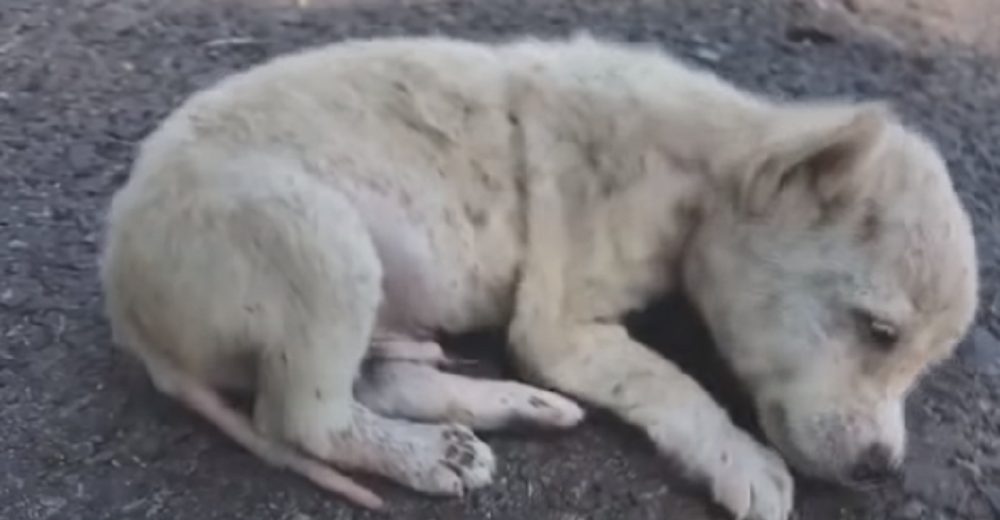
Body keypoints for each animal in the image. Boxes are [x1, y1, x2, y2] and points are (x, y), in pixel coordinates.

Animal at [99, 33, 976, 520]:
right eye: (879, 330)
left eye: (918, 361)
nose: (880, 471)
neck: (707, 168)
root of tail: (124, 297)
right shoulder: (561, 326)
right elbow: (668, 381)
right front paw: (740, 458)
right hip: (316, 238)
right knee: (306, 417)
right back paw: (433, 457)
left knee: (373, 380)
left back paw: (509, 410)